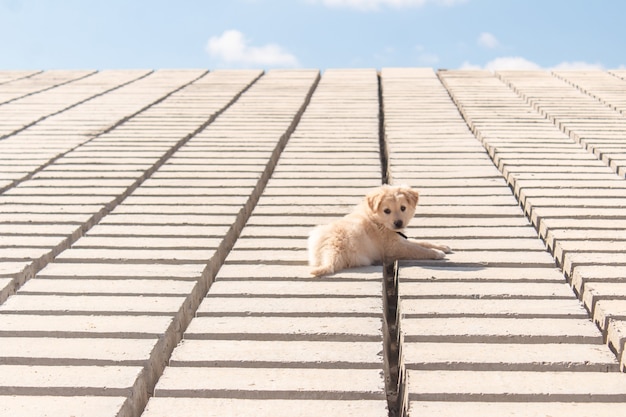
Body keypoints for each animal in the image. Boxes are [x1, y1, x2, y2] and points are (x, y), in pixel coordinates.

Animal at [306, 183, 448, 274]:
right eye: (387, 211)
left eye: (403, 208)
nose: (398, 223)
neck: (378, 220)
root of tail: (331, 250)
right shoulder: (394, 247)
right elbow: (417, 249)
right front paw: (437, 253)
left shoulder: (399, 239)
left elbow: (420, 242)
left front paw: (441, 246)